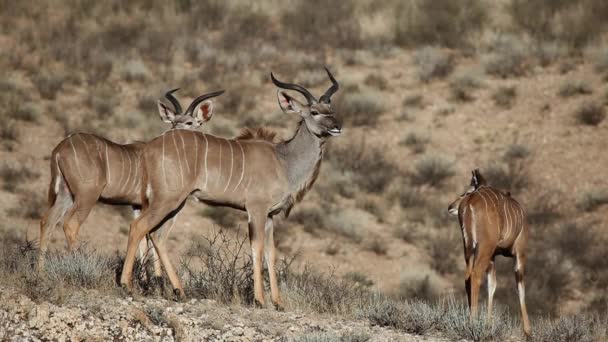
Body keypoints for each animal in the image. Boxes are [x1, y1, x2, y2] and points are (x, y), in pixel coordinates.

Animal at [38, 89, 224, 268]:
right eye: (173, 122)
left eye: (190, 122)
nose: (174, 132)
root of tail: (60, 148)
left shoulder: (137, 205)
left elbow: (143, 240)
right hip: (87, 195)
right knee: (70, 224)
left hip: (66, 193)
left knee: (47, 221)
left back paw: (41, 273)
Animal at [119, 67, 342, 308]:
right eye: (314, 112)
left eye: (331, 110)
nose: (337, 127)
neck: (284, 161)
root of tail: (148, 148)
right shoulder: (256, 210)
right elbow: (257, 248)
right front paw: (260, 300)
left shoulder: (270, 215)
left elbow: (271, 253)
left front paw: (278, 303)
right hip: (167, 199)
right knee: (139, 227)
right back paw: (127, 285)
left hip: (174, 203)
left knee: (157, 236)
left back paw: (180, 291)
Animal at [446, 170, 532, 336]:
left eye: (467, 191)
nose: (450, 207)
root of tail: (470, 203)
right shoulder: (519, 252)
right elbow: (520, 288)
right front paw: (528, 331)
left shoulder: (493, 256)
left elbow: (492, 285)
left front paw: (488, 324)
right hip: (484, 247)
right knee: (475, 275)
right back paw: (472, 322)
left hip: (469, 248)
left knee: (468, 277)